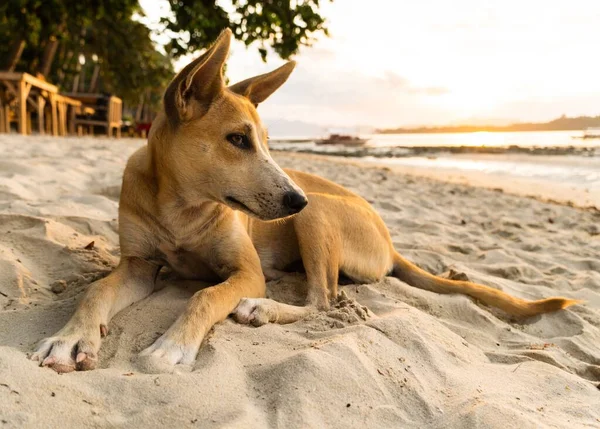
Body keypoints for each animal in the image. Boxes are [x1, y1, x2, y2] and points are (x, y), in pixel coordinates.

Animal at [30, 29, 580, 372]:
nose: (292, 199)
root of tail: (390, 242)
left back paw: (263, 308)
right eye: (238, 140)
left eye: (268, 142)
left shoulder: (244, 271)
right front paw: (70, 337)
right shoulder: (140, 266)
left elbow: (205, 295)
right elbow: (95, 290)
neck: (181, 208)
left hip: (319, 214)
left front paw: (174, 346)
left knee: (323, 300)